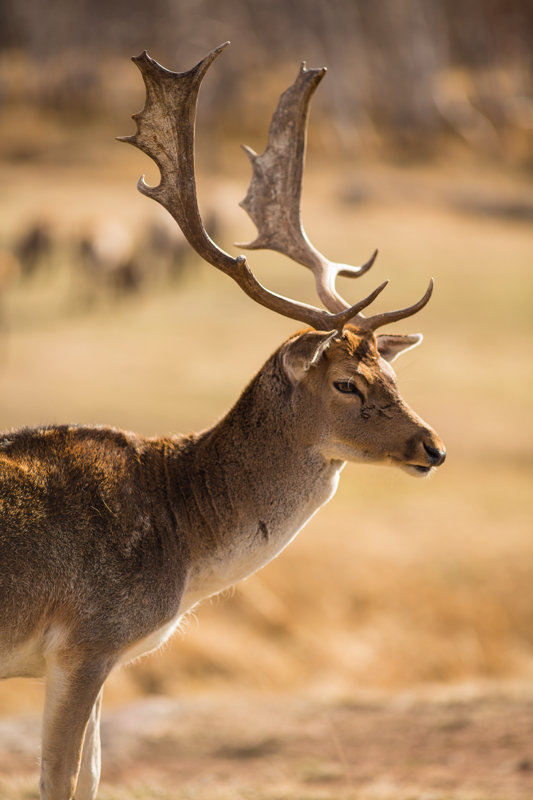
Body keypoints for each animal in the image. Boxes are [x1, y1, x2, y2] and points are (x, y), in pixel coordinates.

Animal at [0, 45, 444, 800]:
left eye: (394, 377)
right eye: (346, 382)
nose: (433, 446)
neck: (182, 543)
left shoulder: (98, 656)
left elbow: (92, 778)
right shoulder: (85, 640)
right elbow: (60, 781)